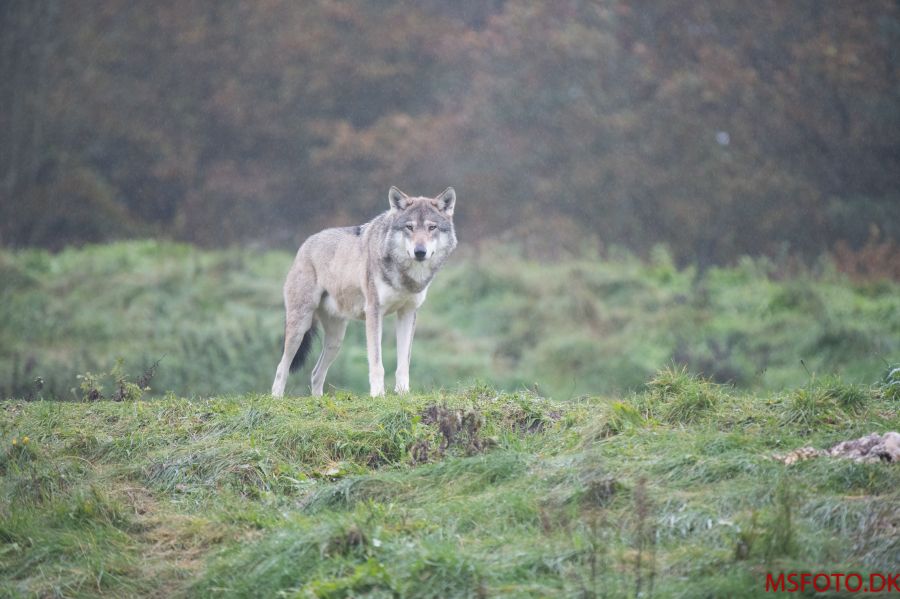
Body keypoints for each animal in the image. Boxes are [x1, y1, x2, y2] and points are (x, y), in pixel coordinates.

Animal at [270, 185, 458, 396]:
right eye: (409, 227)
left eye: (432, 227)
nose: (419, 252)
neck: (405, 276)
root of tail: (304, 245)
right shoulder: (374, 312)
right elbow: (377, 362)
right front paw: (378, 395)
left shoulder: (408, 313)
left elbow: (403, 363)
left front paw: (403, 393)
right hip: (300, 328)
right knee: (282, 367)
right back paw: (276, 398)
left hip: (336, 341)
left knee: (315, 374)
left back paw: (318, 400)